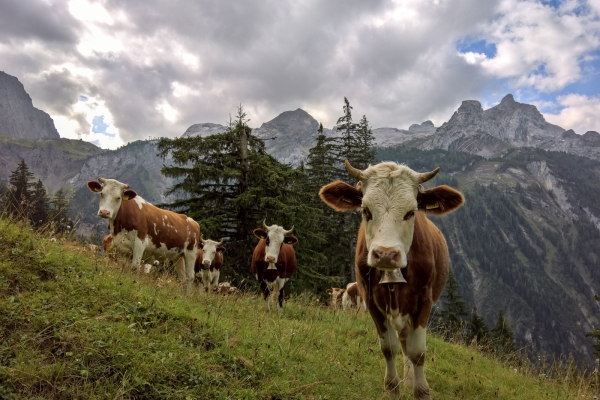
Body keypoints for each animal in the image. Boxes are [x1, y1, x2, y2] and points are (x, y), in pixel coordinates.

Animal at [318, 161, 464, 398]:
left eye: (411, 212)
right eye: (365, 210)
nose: (386, 254)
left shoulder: (424, 301)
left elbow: (418, 352)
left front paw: (421, 390)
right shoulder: (371, 301)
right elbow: (388, 348)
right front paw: (392, 387)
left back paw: (410, 378)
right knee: (402, 339)